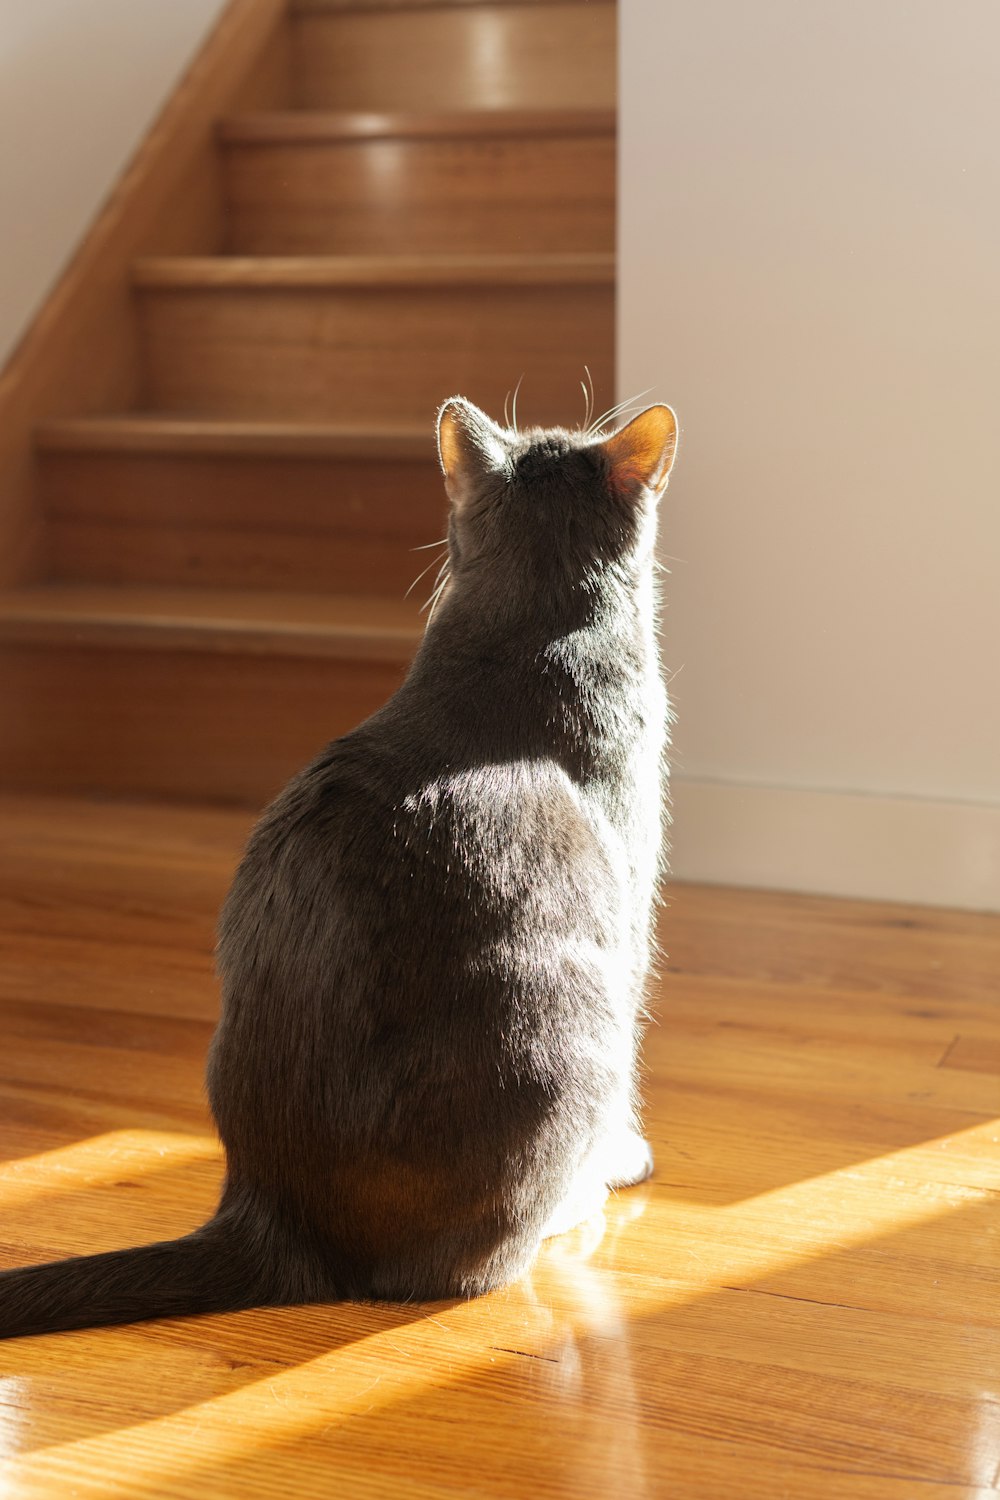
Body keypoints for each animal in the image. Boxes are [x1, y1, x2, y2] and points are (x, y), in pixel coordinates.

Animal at [0, 399, 680, 1338]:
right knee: (473, 1265)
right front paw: (629, 1159)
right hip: (574, 1028)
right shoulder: (631, 905)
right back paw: (576, 1205)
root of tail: (271, 1212)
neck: (528, 635)